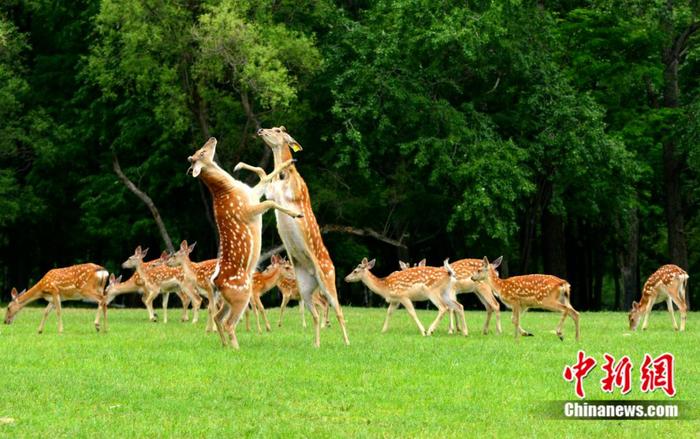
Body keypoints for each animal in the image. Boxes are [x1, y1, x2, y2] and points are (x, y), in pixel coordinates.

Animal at [187, 138, 302, 350]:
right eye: (200, 153)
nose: (212, 139)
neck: (230, 189)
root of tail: (216, 282)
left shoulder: (252, 194)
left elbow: (264, 176)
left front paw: (287, 162)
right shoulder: (248, 209)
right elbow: (270, 202)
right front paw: (296, 213)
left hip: (227, 299)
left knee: (218, 317)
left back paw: (225, 345)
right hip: (241, 294)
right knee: (229, 322)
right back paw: (236, 348)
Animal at [246, 126, 350, 348]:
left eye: (278, 130)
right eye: (272, 127)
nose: (260, 130)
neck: (284, 178)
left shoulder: (293, 192)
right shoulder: (270, 192)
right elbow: (264, 177)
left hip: (328, 279)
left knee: (338, 310)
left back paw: (346, 341)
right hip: (304, 288)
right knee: (315, 314)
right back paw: (316, 343)